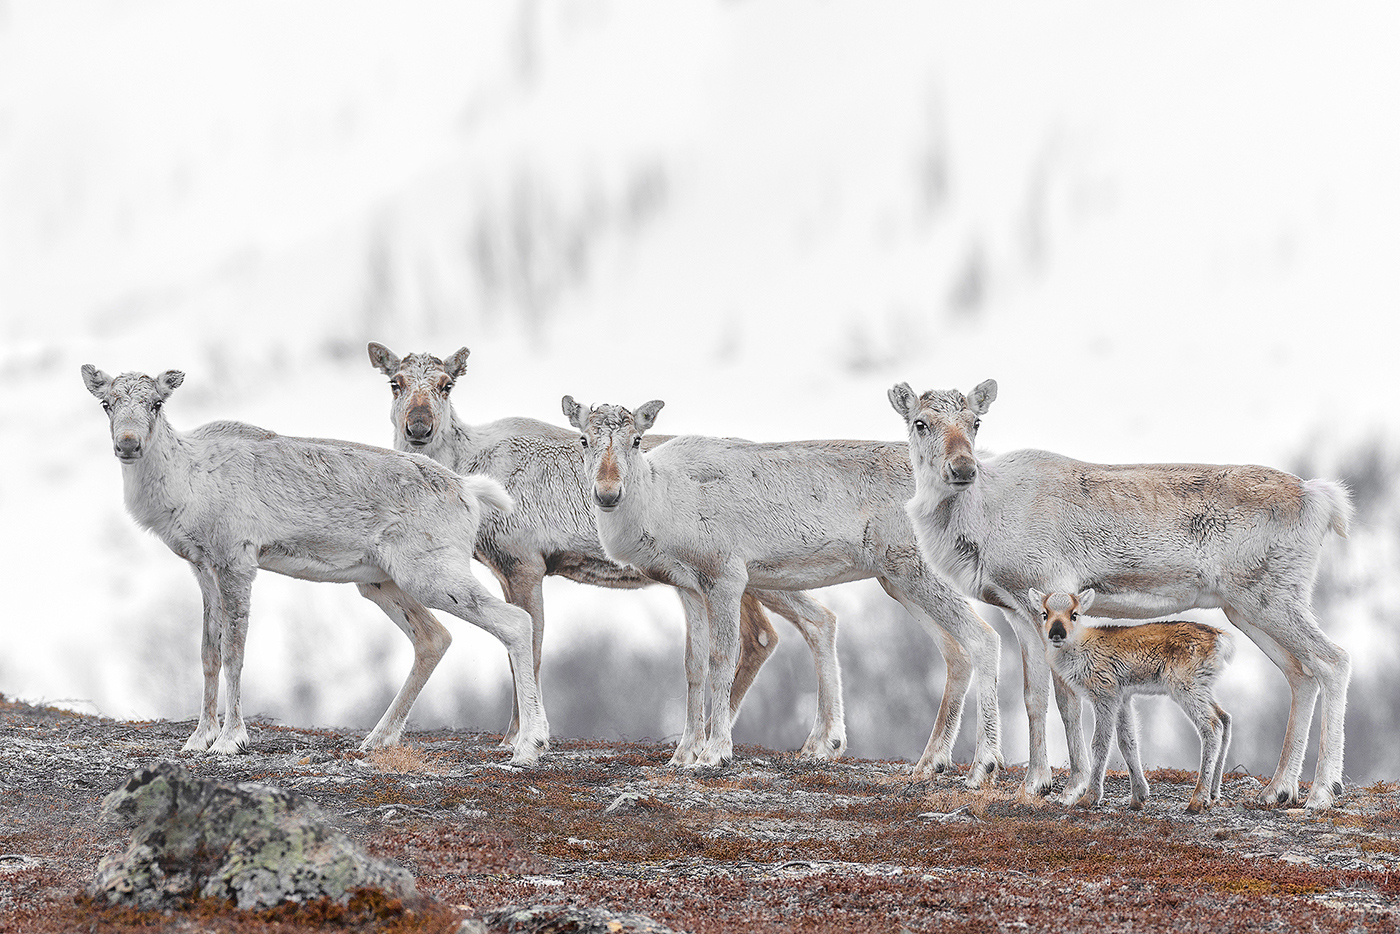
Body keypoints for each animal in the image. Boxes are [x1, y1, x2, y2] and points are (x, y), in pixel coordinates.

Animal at [1030, 588, 1237, 812]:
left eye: (1074, 614)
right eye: (1044, 614)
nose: (1056, 633)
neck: (1080, 648)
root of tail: (1221, 639)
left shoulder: (1105, 694)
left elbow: (1100, 743)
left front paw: (1089, 798)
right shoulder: (1123, 697)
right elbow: (1127, 741)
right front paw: (1139, 796)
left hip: (1185, 686)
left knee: (1211, 725)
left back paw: (1197, 800)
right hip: (1203, 687)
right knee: (1225, 717)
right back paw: (1213, 794)